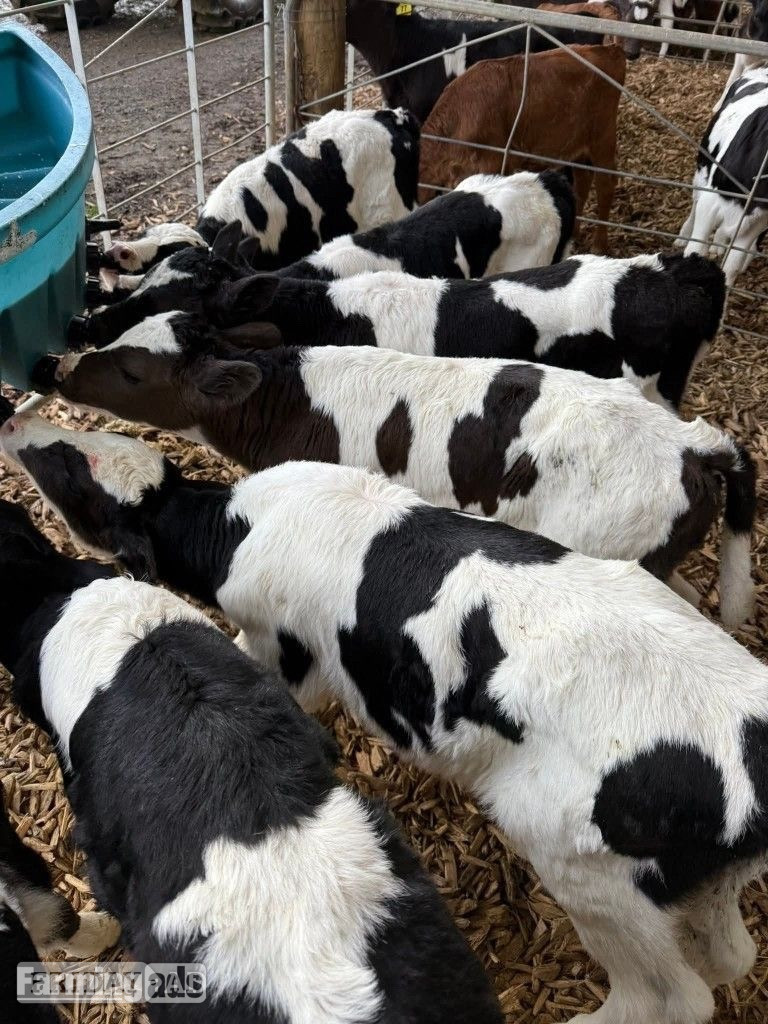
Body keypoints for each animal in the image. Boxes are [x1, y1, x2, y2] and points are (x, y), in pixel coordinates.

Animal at [676, 66, 768, 284]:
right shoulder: (711, 199)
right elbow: (696, 249)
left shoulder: (758, 221)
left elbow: (732, 267)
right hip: (703, 169)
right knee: (694, 203)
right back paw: (683, 236)